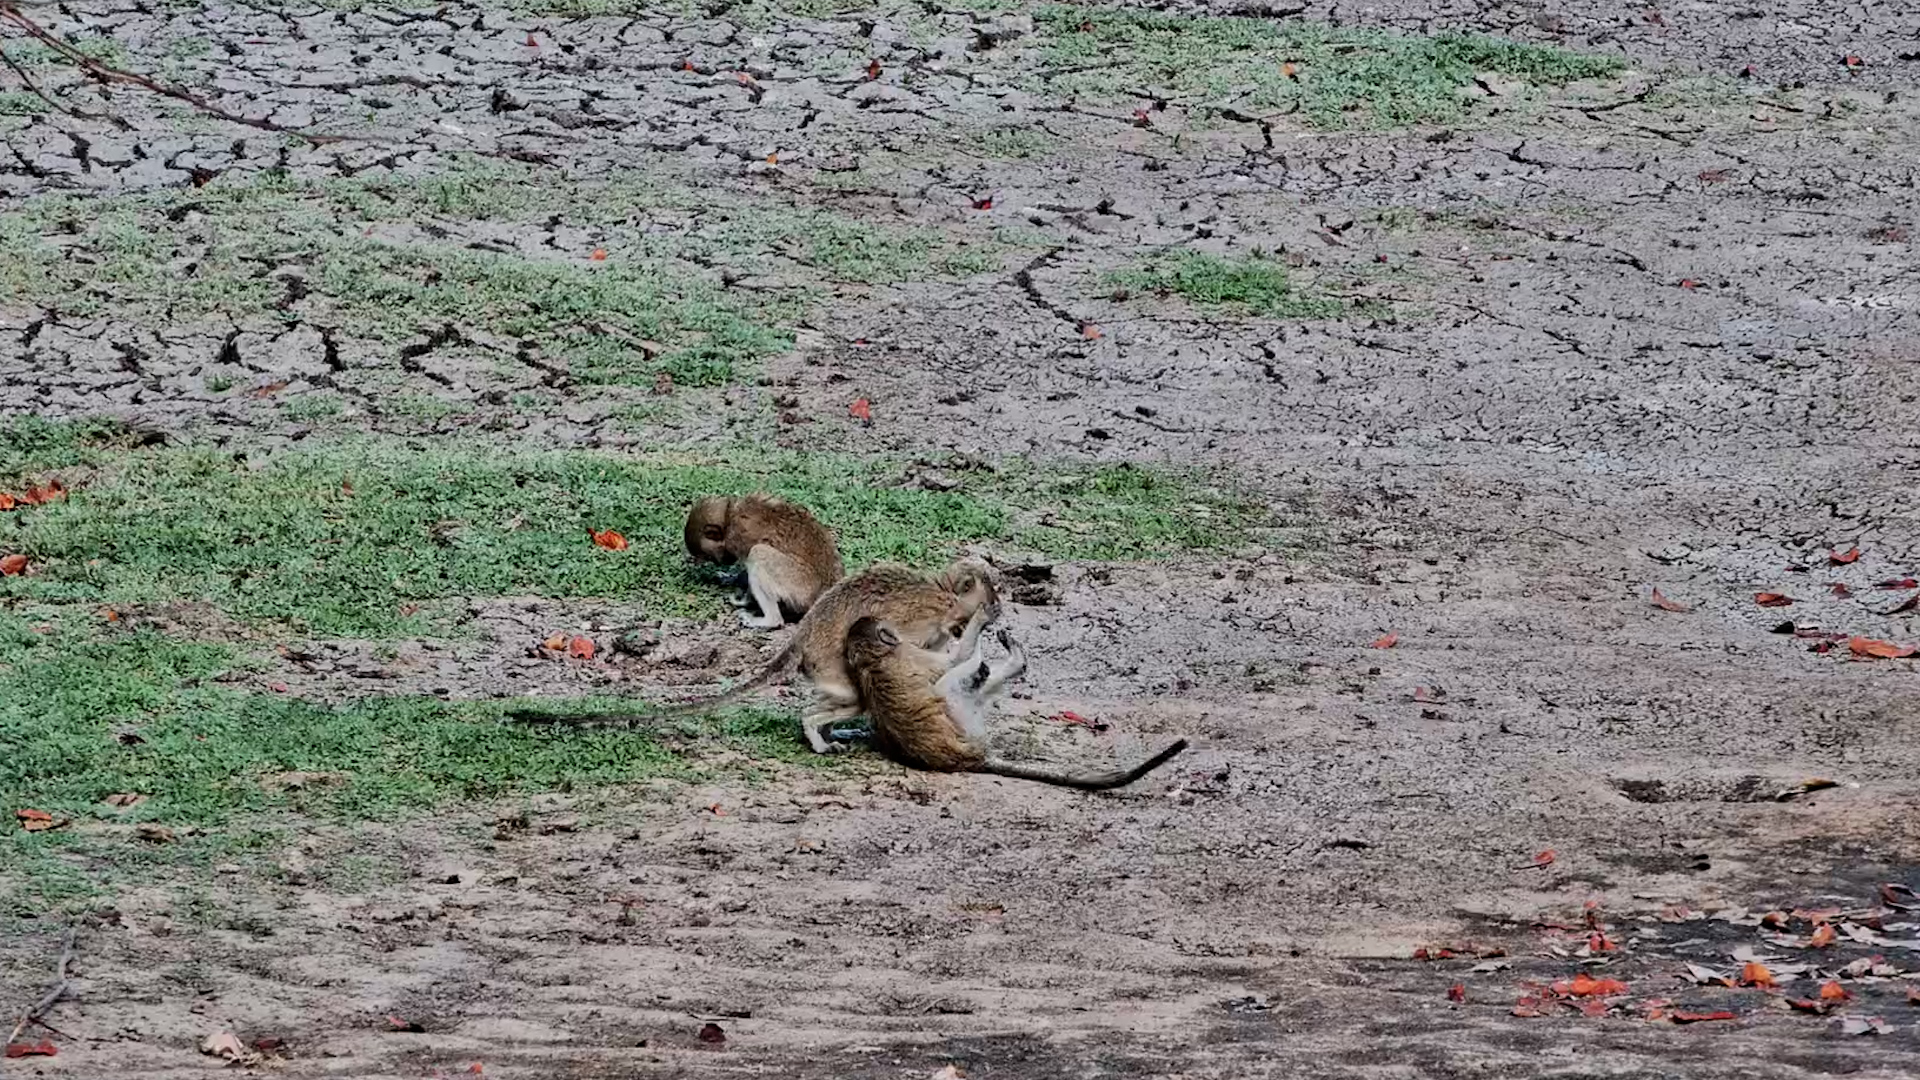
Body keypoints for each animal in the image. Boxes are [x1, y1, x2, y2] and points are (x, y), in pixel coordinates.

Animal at [508, 559, 1003, 755]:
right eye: (993, 594)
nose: (998, 609)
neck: (942, 597)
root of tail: (801, 640)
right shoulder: (920, 620)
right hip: (829, 668)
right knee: (843, 700)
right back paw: (818, 733)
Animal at [683, 494, 843, 629]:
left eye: (708, 557)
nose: (722, 562)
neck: (729, 516)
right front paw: (732, 579)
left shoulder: (737, 537)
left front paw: (745, 600)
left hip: (800, 585)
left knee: (758, 553)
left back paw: (770, 620)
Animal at [843, 615, 1189, 790]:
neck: (870, 658)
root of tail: (970, 759)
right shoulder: (914, 656)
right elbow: (955, 658)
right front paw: (980, 615)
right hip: (966, 722)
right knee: (952, 681)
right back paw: (995, 667)